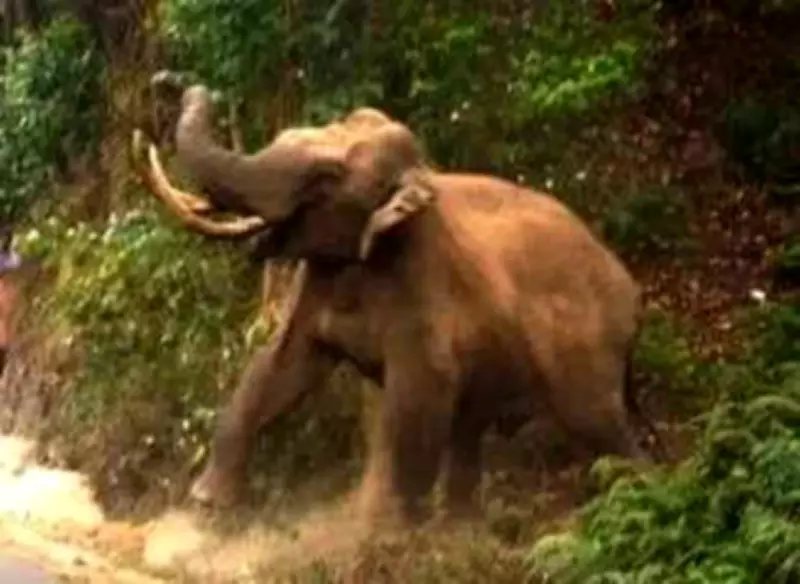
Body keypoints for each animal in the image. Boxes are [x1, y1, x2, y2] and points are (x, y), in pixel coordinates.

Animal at [129, 77, 663, 526]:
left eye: (325, 177)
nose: (168, 81)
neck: (420, 171)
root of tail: (634, 290)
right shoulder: (316, 285)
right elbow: (278, 366)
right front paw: (205, 506)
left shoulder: (424, 289)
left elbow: (417, 399)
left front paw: (390, 538)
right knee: (472, 431)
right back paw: (463, 530)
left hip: (588, 349)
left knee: (599, 427)